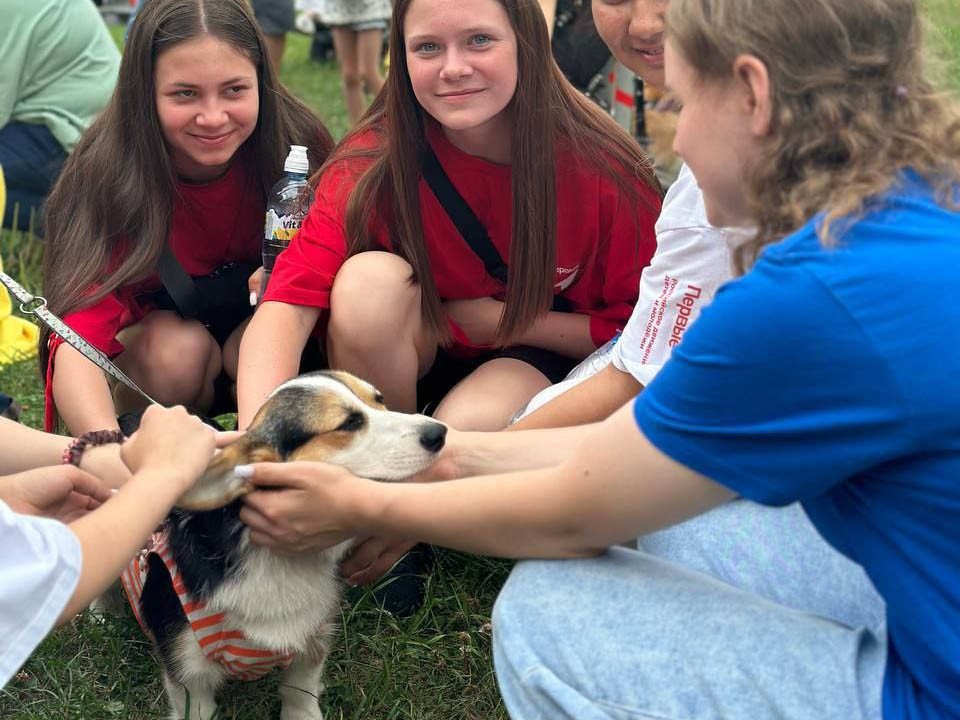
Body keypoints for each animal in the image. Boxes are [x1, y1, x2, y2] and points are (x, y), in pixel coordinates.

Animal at [122, 372, 448, 720]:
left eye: (380, 399)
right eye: (348, 423)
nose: (440, 432)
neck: (277, 557)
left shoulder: (312, 641)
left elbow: (299, 693)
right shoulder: (188, 674)